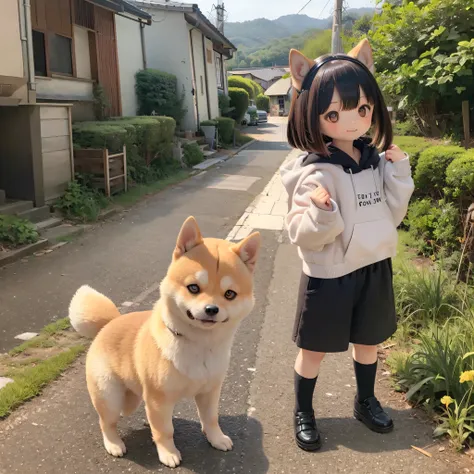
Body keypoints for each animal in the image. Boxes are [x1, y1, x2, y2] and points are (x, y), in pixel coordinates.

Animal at [67, 217, 260, 468]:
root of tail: (109, 323)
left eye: (230, 294)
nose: (211, 309)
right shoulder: (159, 400)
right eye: (193, 288)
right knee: (106, 422)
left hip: (132, 395)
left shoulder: (210, 391)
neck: (198, 344)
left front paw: (216, 438)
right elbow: (164, 430)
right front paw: (168, 452)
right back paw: (113, 443)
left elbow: (210, 419)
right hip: (109, 395)